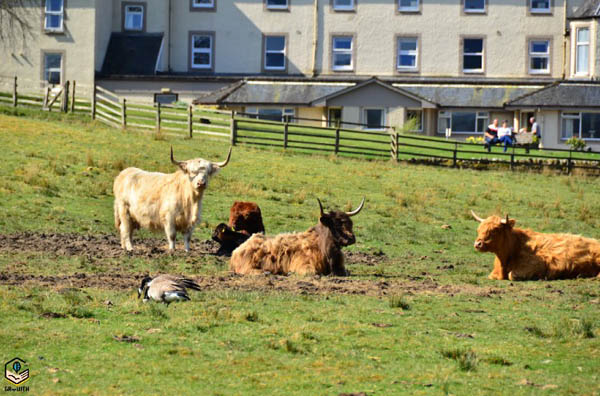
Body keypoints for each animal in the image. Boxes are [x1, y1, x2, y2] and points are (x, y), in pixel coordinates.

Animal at [230, 198, 364, 276]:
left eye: (350, 223)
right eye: (336, 224)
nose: (351, 238)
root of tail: (237, 250)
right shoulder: (303, 265)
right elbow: (312, 273)